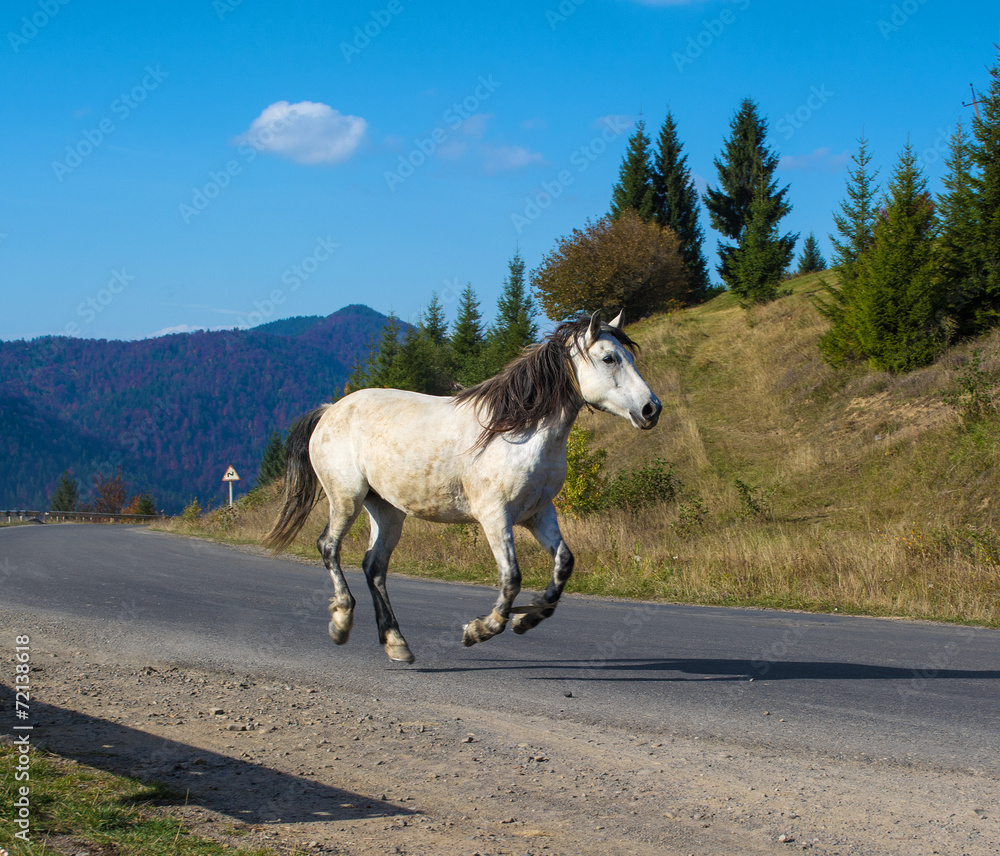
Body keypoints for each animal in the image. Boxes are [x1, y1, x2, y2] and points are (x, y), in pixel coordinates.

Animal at [262, 310, 660, 664]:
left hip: (386, 510)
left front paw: (526, 619)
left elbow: (563, 564)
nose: (650, 409)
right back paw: (342, 621)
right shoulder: (494, 516)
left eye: (628, 356)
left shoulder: (537, 514)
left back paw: (396, 643)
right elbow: (511, 578)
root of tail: (329, 411)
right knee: (329, 547)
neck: (518, 432)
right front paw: (480, 629)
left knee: (374, 566)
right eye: (609, 358)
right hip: (347, 498)